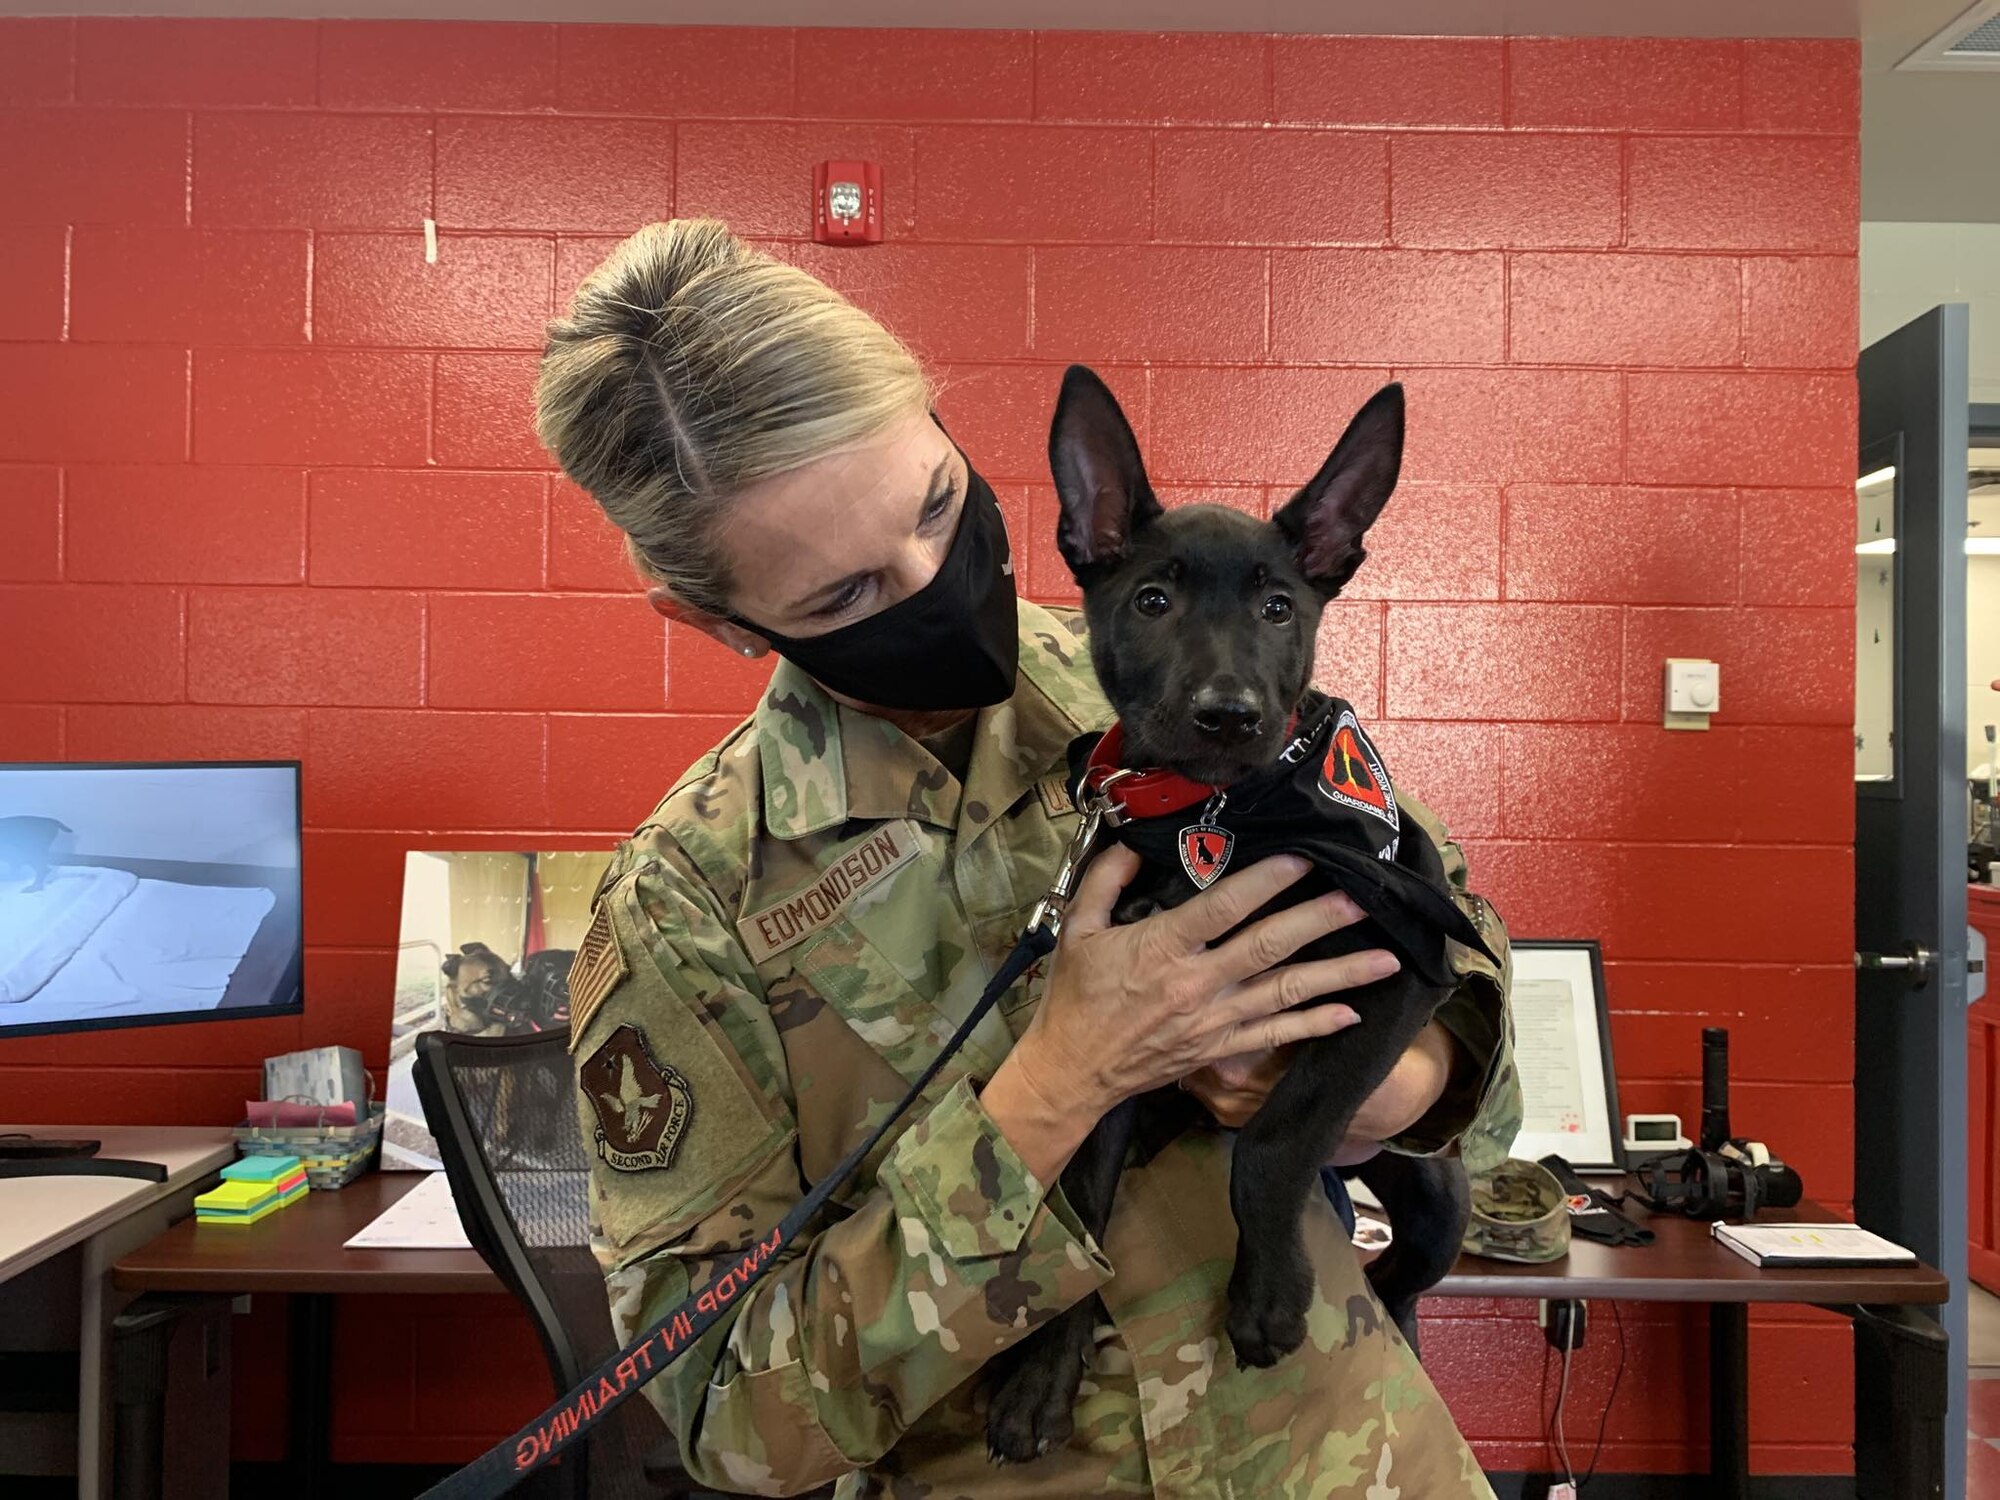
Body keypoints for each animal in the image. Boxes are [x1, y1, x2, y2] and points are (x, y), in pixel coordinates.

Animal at [984, 368, 1488, 1472]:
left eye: (1276, 607)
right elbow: (1082, 1205)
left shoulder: (1397, 971)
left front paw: (1264, 1301)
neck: (1220, 814)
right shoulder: (1117, 1032)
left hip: (1436, 1191)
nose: (1229, 713)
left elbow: (1271, 1143)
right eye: (1151, 601)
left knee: (1399, 1277)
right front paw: (1039, 1378)